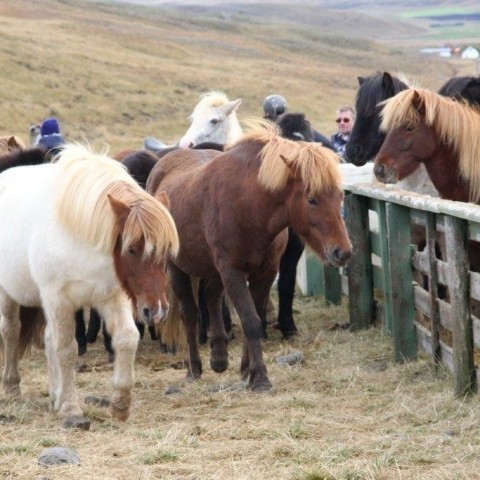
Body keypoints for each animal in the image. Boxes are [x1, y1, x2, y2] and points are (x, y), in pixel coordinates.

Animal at [0, 143, 178, 424]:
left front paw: (120, 403)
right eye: (131, 249)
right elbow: (67, 349)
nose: (157, 311)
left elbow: (127, 338)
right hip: (9, 294)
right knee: (11, 331)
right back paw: (12, 387)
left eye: (167, 252)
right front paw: (71, 406)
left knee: (48, 338)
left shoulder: (112, 297)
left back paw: (55, 394)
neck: (81, 235)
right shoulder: (59, 299)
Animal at [146, 122, 352, 392]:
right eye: (312, 199)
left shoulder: (265, 272)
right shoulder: (233, 272)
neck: (249, 205)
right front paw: (260, 377)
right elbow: (251, 320)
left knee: (211, 296)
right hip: (177, 269)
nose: (343, 251)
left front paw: (247, 370)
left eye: (340, 196)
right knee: (190, 314)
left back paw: (219, 357)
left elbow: (253, 317)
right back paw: (194, 369)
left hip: (215, 271)